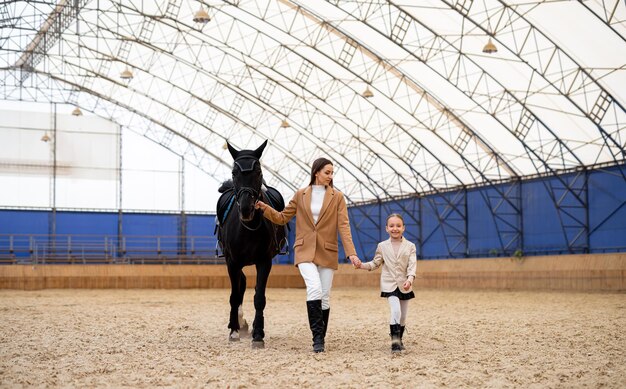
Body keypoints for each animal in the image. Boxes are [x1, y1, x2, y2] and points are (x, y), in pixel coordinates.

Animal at [213, 140, 284, 348]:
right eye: (234, 172)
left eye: (259, 172)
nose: (246, 209)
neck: (249, 227)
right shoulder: (232, 261)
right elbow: (234, 295)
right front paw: (234, 331)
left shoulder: (264, 261)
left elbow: (259, 297)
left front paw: (258, 334)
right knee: (240, 286)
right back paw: (238, 324)